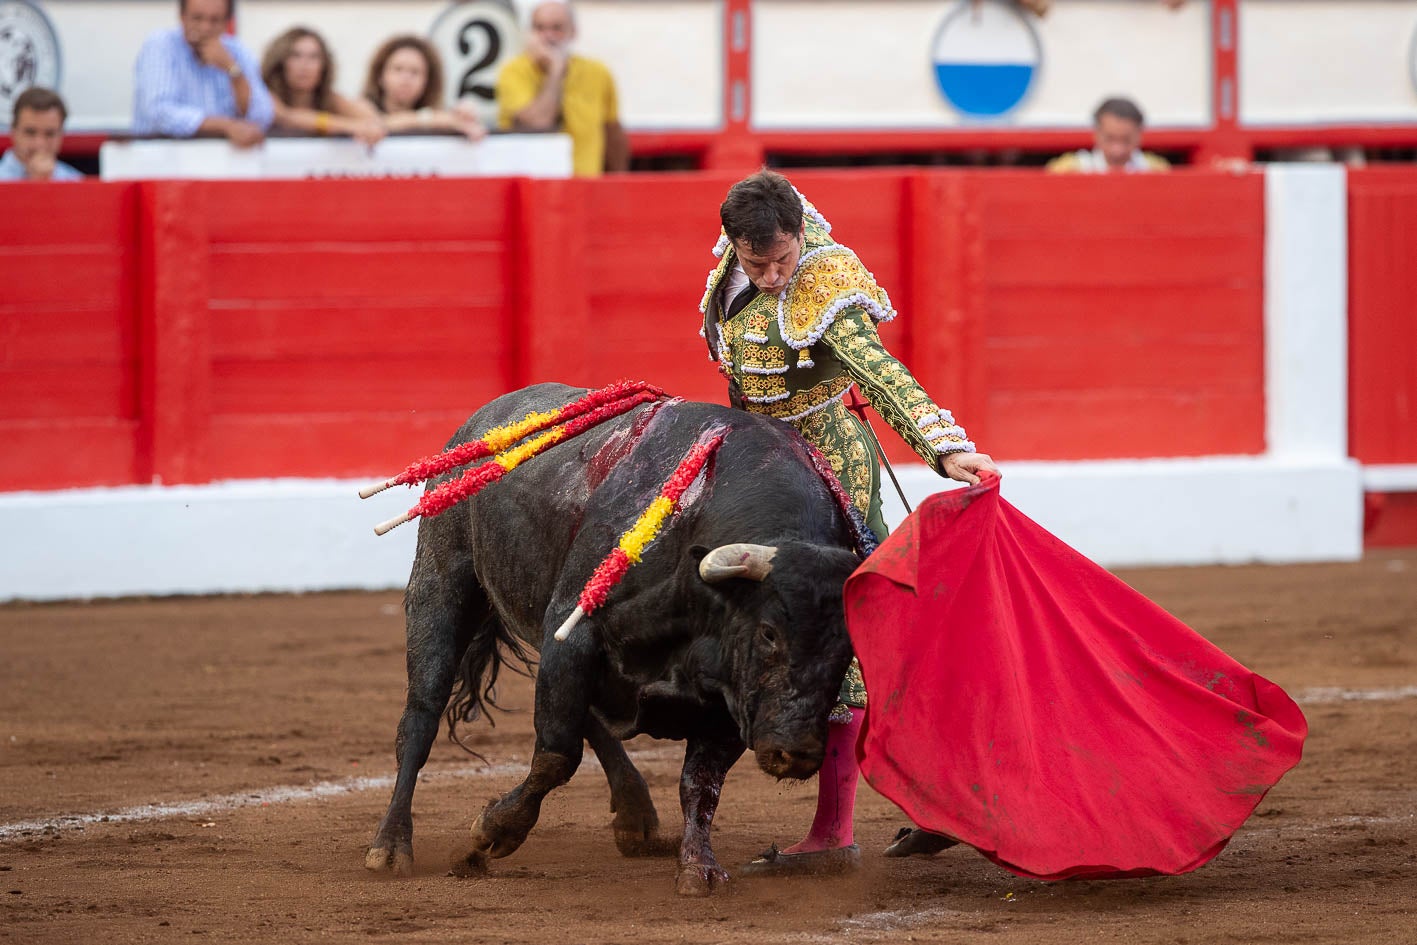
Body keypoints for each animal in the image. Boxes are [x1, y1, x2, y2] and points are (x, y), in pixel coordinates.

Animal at [365, 382, 861, 895]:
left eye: (848, 650)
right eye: (768, 633)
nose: (796, 752)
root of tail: (485, 417)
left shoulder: (731, 695)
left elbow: (700, 783)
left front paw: (698, 867)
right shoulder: (572, 632)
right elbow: (557, 755)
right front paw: (493, 831)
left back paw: (636, 816)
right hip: (441, 581)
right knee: (421, 716)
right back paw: (390, 847)